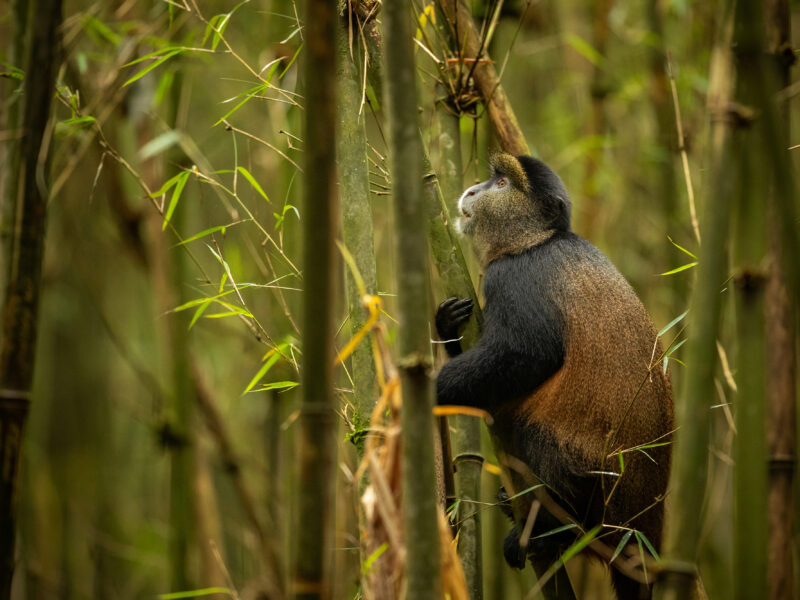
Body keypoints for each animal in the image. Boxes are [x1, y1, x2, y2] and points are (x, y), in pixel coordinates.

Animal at [435, 154, 674, 600]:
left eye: (502, 183)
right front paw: (445, 325)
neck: (538, 241)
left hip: (598, 483)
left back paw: (550, 531)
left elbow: (527, 354)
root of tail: (641, 539)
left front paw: (428, 386)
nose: (473, 190)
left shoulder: (514, 278)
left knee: (541, 439)